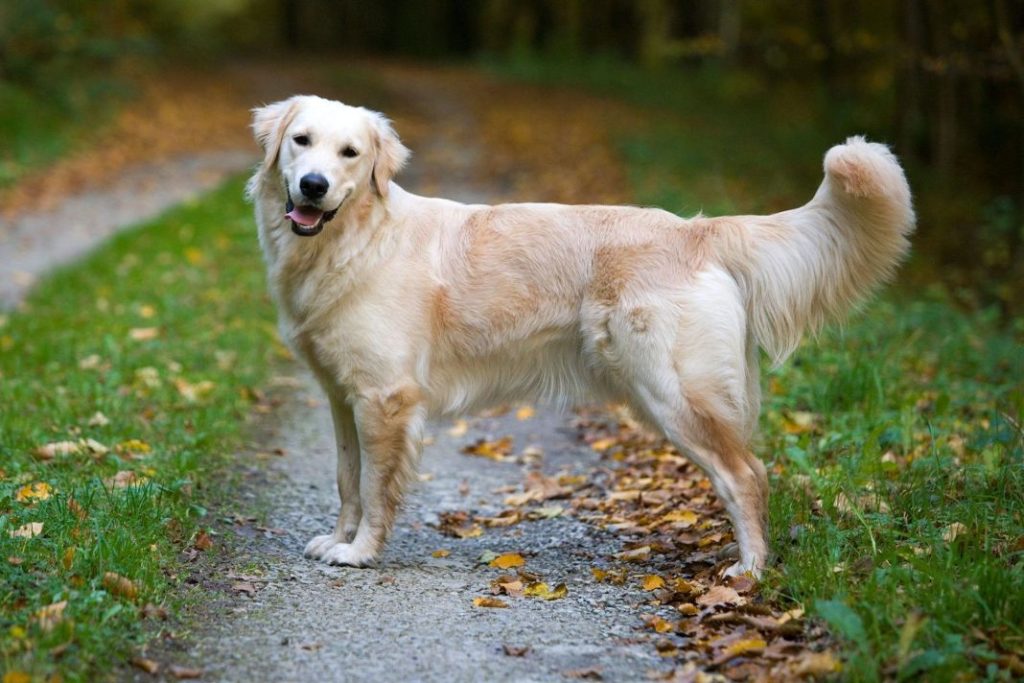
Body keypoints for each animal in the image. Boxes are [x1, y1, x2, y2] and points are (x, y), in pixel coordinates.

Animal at [245, 96, 913, 577]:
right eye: (301, 142)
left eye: (350, 153)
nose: (312, 185)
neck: (354, 239)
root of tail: (697, 230)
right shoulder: (343, 398)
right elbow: (346, 480)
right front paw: (337, 539)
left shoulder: (386, 399)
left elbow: (376, 488)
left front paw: (360, 552)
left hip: (675, 394)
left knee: (746, 475)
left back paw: (749, 572)